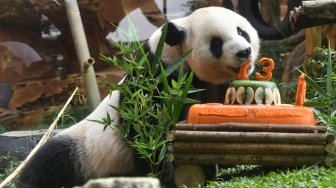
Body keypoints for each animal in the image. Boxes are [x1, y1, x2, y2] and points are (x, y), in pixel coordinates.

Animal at [17, 6, 260, 187]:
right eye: (216, 43)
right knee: (50, 161)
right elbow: (147, 129)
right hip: (83, 150)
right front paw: (167, 176)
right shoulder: (156, 78)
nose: (244, 52)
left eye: (241, 32)